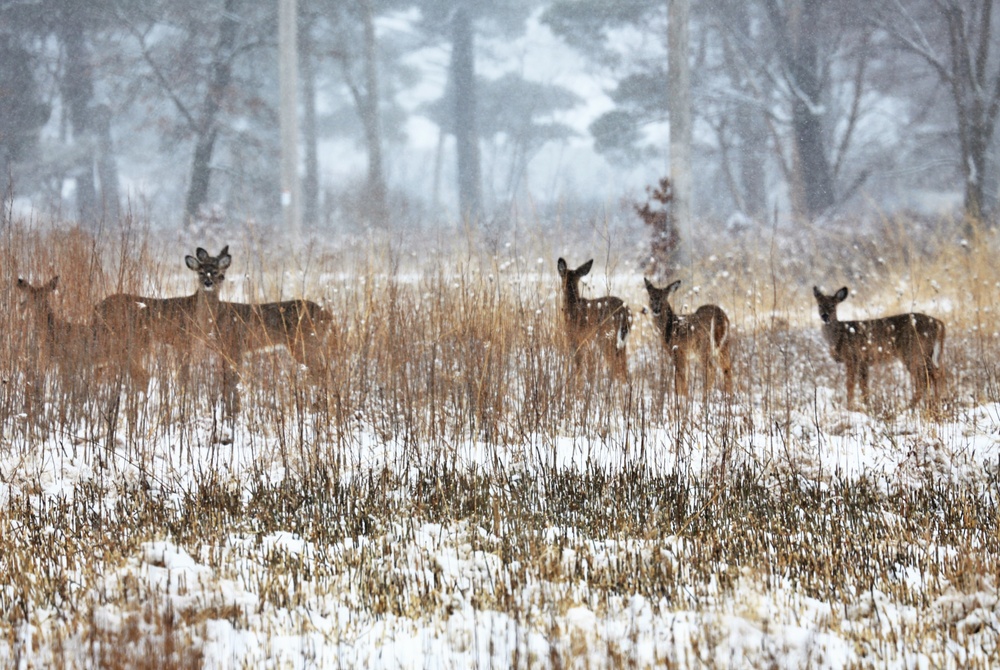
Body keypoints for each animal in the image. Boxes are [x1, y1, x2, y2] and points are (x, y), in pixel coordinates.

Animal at [812, 284, 944, 410]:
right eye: (819, 305)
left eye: (832, 305)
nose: (825, 316)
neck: (840, 335)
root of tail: (939, 324)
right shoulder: (863, 362)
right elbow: (864, 386)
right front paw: (867, 405)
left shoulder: (852, 357)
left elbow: (850, 384)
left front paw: (850, 407)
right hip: (925, 353)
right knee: (935, 374)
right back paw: (934, 404)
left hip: (913, 352)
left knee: (924, 378)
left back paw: (910, 407)